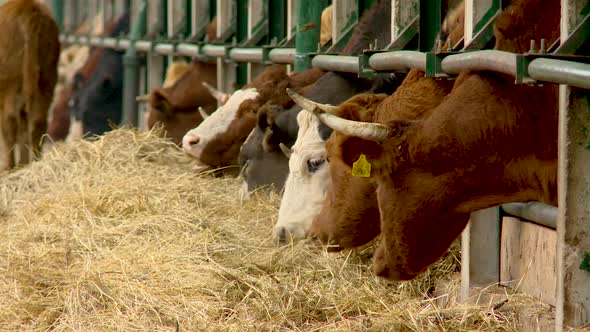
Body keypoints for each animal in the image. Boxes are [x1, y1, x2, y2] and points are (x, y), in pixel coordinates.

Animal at [0, 0, 60, 170]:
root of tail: (28, 7)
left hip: (10, 86)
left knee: (10, 122)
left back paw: (9, 167)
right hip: (47, 79)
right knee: (37, 122)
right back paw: (33, 163)